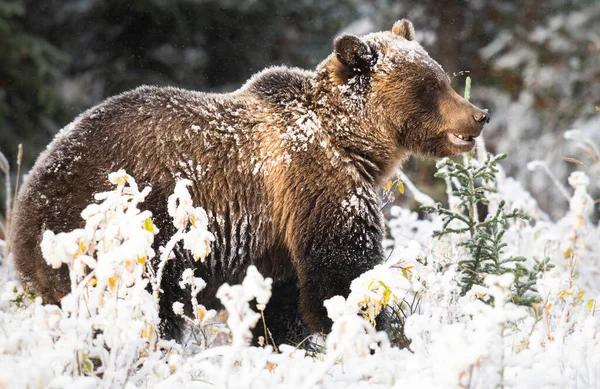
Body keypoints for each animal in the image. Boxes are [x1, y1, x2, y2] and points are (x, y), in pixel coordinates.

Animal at [9, 19, 488, 344]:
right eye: (431, 86)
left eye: (441, 76)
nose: (479, 115)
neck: (349, 141)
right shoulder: (317, 184)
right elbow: (341, 276)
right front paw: (379, 333)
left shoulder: (276, 235)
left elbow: (280, 301)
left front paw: (285, 342)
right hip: (122, 231)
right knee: (139, 307)